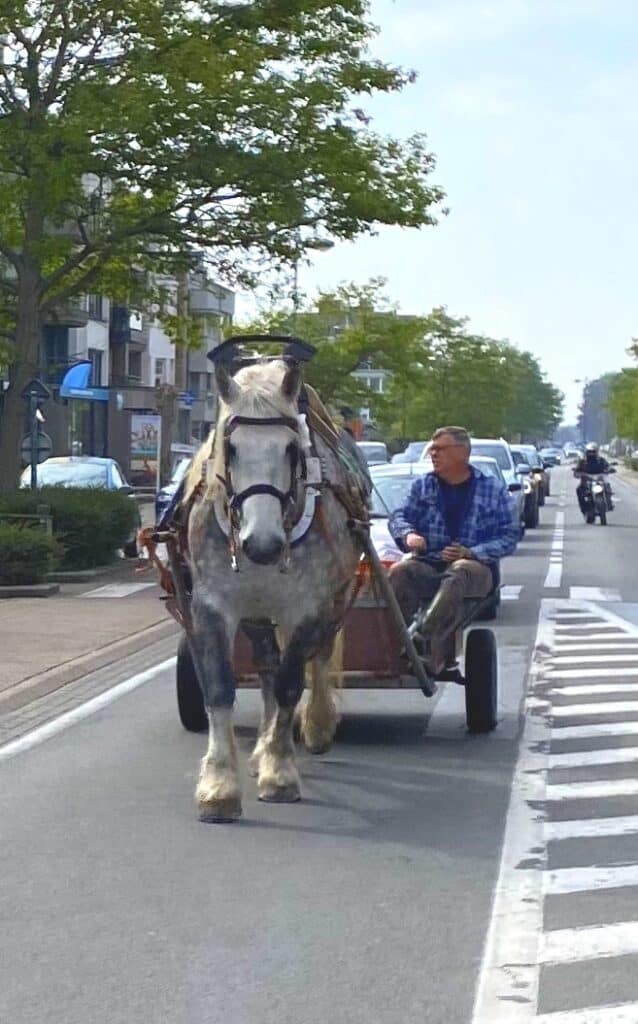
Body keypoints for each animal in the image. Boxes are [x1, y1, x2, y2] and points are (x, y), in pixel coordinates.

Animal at [183, 356, 364, 819]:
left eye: (292, 449)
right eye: (229, 448)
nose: (262, 545)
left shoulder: (305, 609)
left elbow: (288, 685)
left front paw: (280, 773)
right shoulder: (212, 605)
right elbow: (219, 687)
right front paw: (219, 785)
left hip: (333, 601)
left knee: (317, 658)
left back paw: (315, 725)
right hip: (258, 613)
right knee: (266, 664)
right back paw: (262, 746)